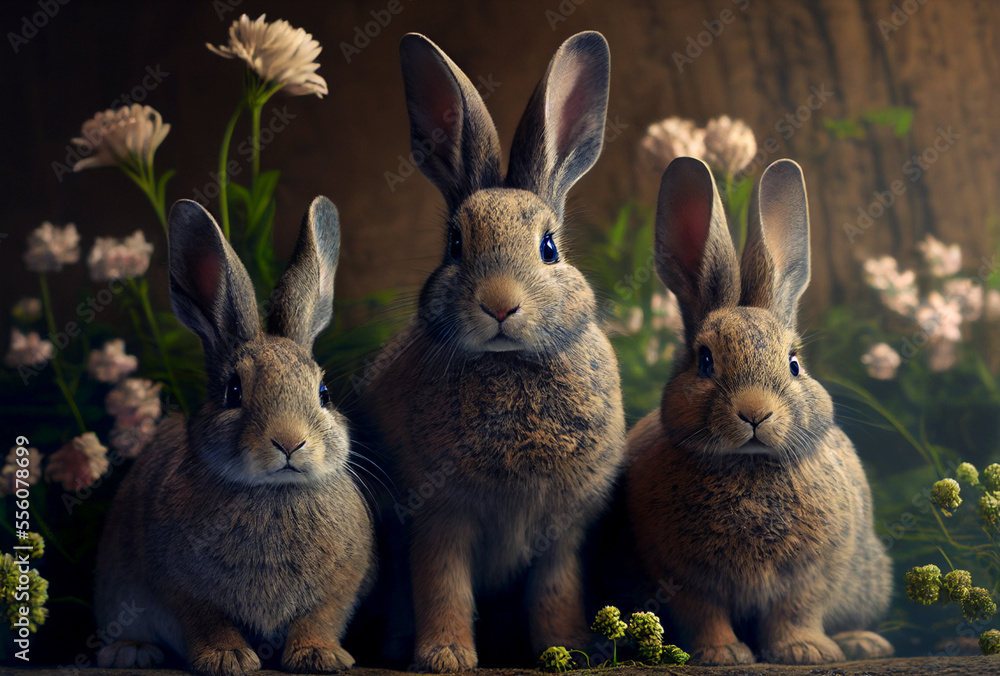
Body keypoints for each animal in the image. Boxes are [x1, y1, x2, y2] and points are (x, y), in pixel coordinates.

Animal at [94, 197, 374, 676]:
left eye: (323, 393)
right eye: (233, 392)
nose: (289, 442)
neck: (274, 492)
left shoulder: (338, 589)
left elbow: (318, 619)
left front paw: (319, 656)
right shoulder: (181, 590)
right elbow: (207, 621)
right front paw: (228, 658)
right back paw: (131, 652)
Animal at [359, 31, 626, 672]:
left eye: (550, 247)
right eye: (455, 244)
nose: (500, 304)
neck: (508, 364)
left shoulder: (559, 534)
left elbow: (556, 592)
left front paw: (567, 650)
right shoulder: (438, 519)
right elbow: (442, 587)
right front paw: (446, 655)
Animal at [625, 158, 894, 666]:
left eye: (794, 363)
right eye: (704, 361)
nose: (755, 413)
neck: (748, 466)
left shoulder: (813, 574)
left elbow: (797, 611)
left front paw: (806, 651)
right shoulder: (680, 577)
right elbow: (705, 615)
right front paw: (722, 655)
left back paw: (863, 643)